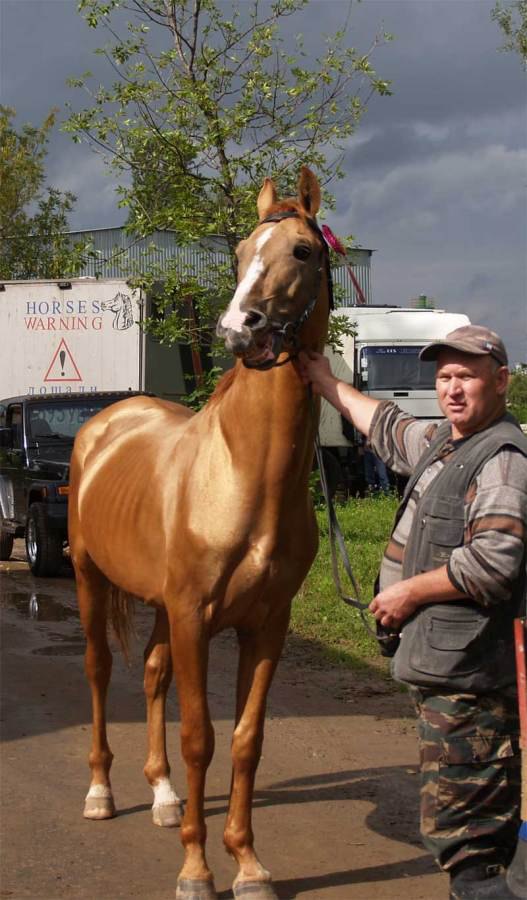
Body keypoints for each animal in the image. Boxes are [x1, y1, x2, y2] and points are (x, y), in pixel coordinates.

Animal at [69, 169, 330, 900]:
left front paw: (248, 865)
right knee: (100, 671)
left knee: (152, 673)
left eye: (303, 251)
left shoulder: (264, 624)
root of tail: (106, 422)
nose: (239, 330)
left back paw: (162, 798)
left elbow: (245, 739)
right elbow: (200, 740)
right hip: (90, 578)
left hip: (161, 606)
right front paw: (196, 870)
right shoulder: (193, 616)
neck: (244, 476)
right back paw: (101, 793)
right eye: (239, 252)